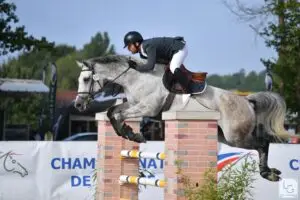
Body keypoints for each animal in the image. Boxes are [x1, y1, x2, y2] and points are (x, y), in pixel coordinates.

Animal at [74, 54, 294, 181]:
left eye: (85, 79)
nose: (78, 105)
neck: (136, 78)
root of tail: (247, 101)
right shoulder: (134, 103)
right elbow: (113, 112)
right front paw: (129, 133)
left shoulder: (148, 107)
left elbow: (118, 114)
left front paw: (133, 134)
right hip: (225, 137)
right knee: (261, 144)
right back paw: (269, 172)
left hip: (236, 136)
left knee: (262, 144)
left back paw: (268, 173)